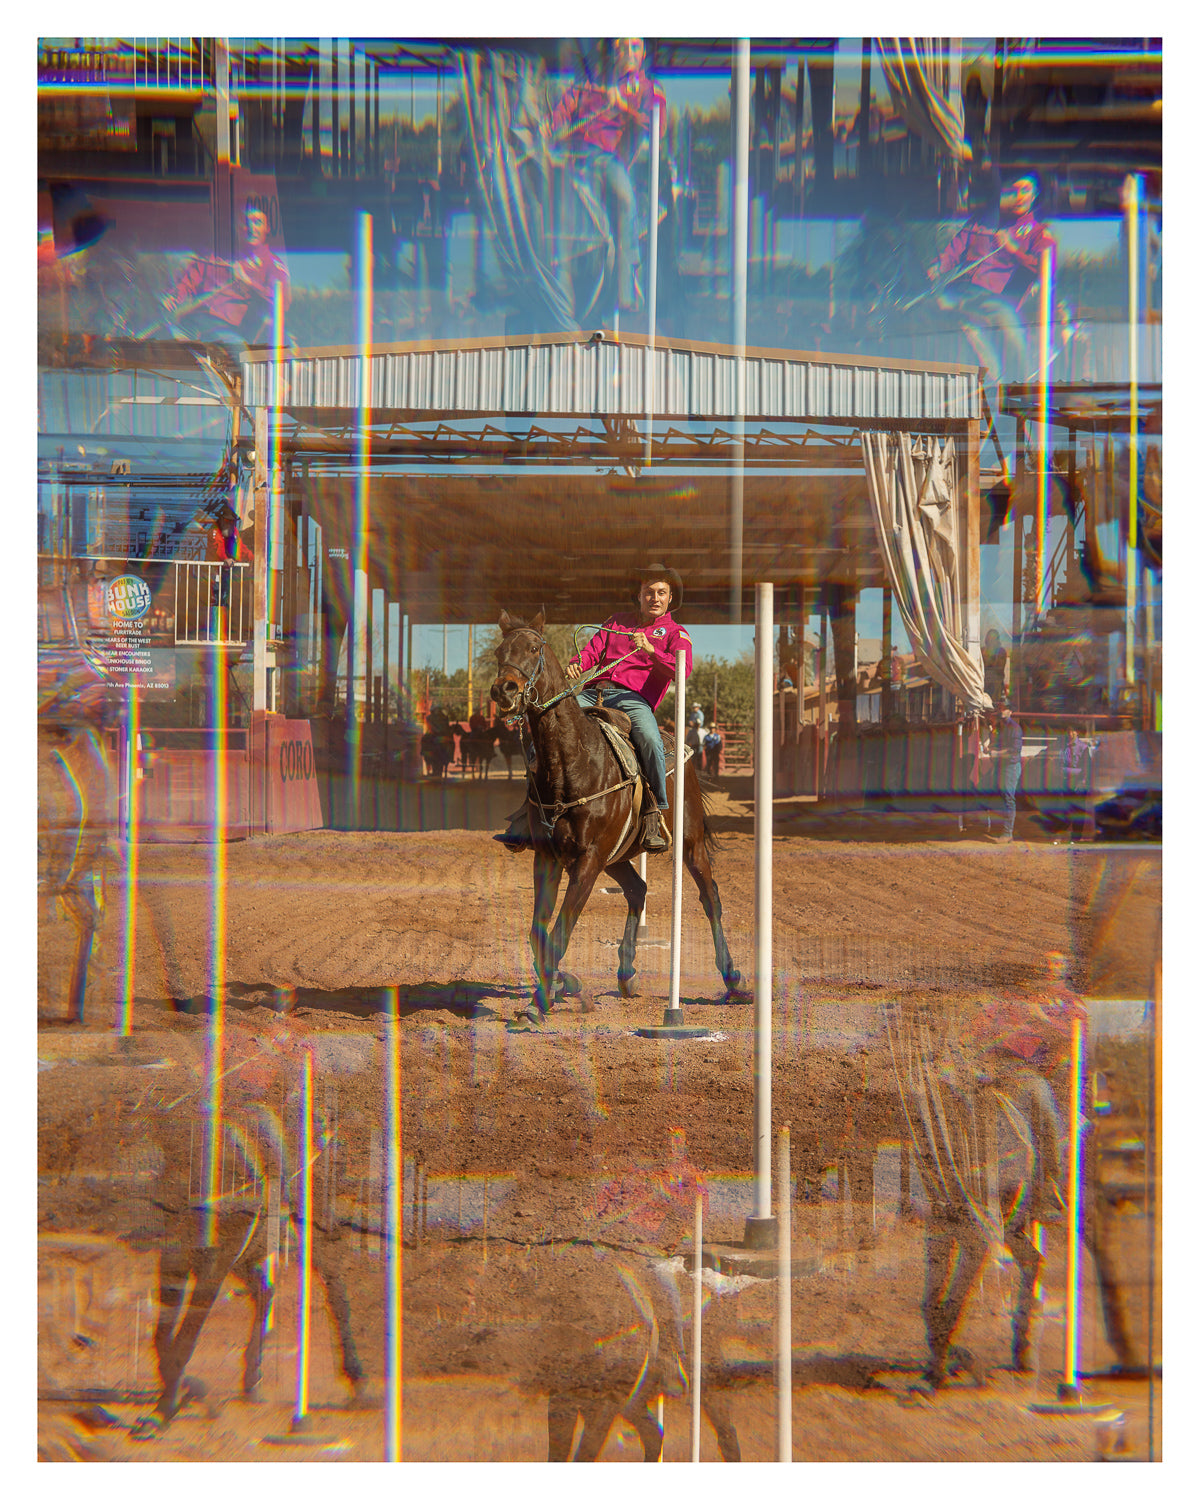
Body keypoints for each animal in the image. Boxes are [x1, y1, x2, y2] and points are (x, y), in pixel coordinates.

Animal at [486, 606, 741, 1020]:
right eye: (499, 651)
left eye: (535, 648)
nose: (504, 689)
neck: (573, 762)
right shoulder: (548, 858)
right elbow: (539, 933)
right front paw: (562, 985)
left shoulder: (588, 860)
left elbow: (560, 932)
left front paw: (544, 1001)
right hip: (618, 855)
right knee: (637, 889)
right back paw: (626, 973)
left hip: (689, 842)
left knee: (710, 897)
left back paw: (733, 979)